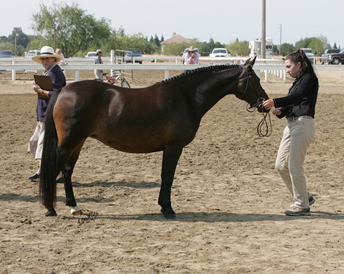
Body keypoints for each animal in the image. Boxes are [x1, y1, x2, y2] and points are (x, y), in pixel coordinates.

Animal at [39, 57, 268, 218]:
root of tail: (63, 90)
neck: (185, 97)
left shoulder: (169, 148)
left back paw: (73, 206)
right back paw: (50, 208)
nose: (265, 103)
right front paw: (168, 209)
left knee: (67, 171)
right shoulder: (174, 147)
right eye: (255, 79)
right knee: (54, 170)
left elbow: (164, 176)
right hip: (68, 144)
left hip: (77, 143)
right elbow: (168, 176)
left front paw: (162, 206)